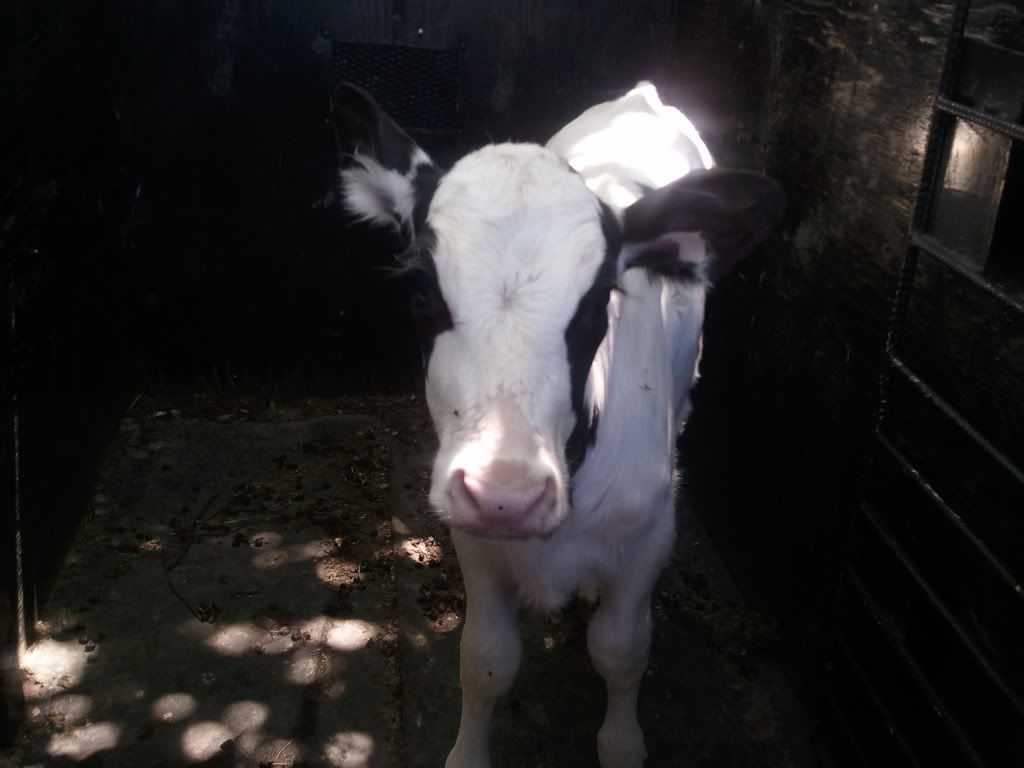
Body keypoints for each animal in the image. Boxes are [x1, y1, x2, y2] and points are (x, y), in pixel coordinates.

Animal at [331, 81, 784, 768]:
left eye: (599, 301)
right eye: (421, 291)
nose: (506, 497)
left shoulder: (650, 536)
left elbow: (621, 651)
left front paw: (622, 743)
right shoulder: (475, 541)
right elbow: (485, 661)